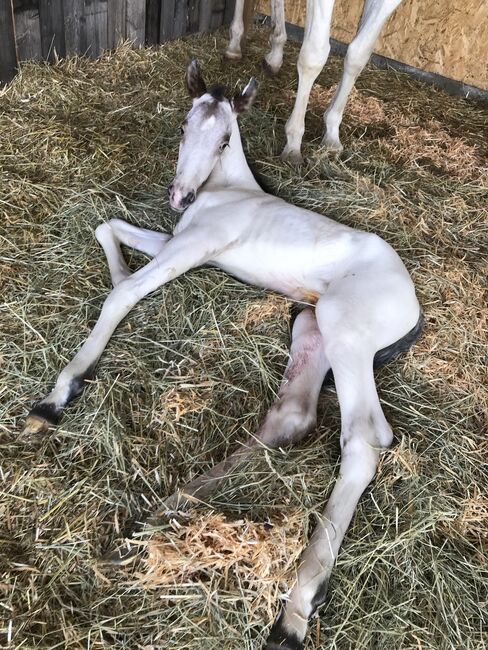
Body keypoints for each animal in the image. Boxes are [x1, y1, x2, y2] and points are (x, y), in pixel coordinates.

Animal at [22, 62, 422, 648]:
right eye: (183, 127)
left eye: (226, 138)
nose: (180, 197)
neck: (229, 192)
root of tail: (412, 302)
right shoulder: (176, 241)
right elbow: (107, 228)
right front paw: (117, 270)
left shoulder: (195, 246)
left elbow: (124, 294)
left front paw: (58, 396)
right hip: (310, 325)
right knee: (293, 414)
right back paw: (162, 513)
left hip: (344, 330)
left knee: (365, 438)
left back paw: (297, 606)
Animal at [225, 0, 404, 161]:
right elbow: (314, 55)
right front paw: (293, 143)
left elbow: (358, 55)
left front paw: (332, 133)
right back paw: (235, 45)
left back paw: (275, 54)